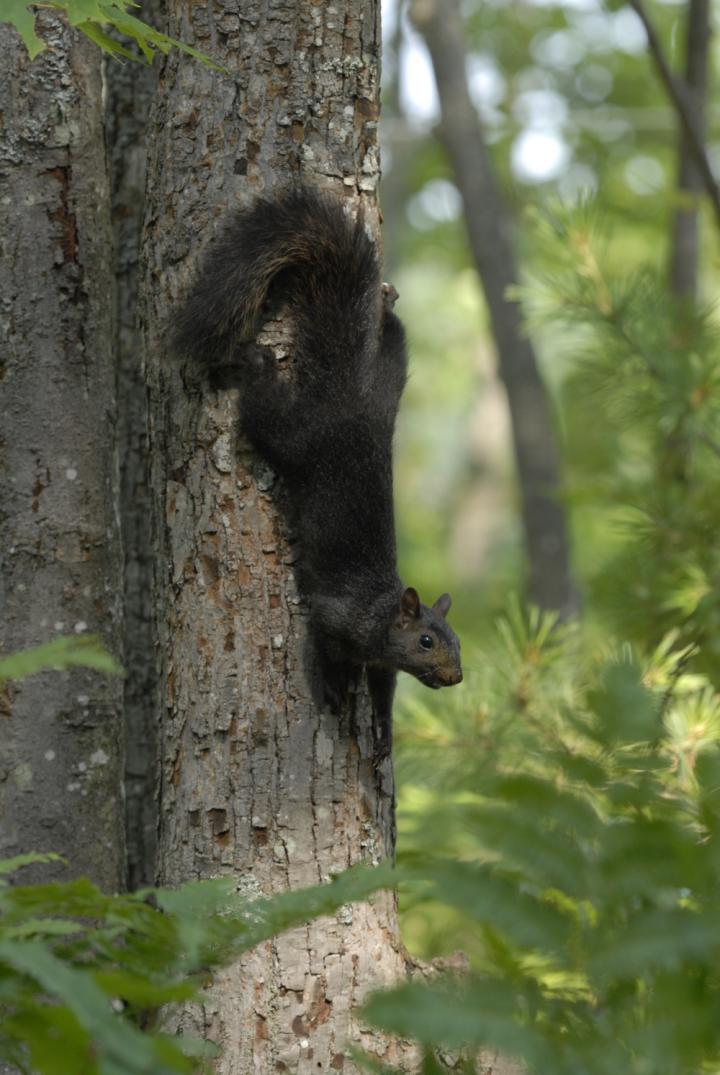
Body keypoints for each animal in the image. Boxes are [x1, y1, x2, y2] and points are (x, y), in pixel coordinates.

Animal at [173, 186, 462, 758]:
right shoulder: (336, 618)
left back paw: (388, 309)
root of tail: (348, 398)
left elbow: (385, 690)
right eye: (425, 640)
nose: (456, 676)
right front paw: (331, 688)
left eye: (456, 640)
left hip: (389, 381)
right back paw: (259, 364)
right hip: (295, 435)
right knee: (265, 410)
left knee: (395, 342)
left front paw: (386, 732)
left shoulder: (381, 661)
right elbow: (325, 647)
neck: (379, 612)